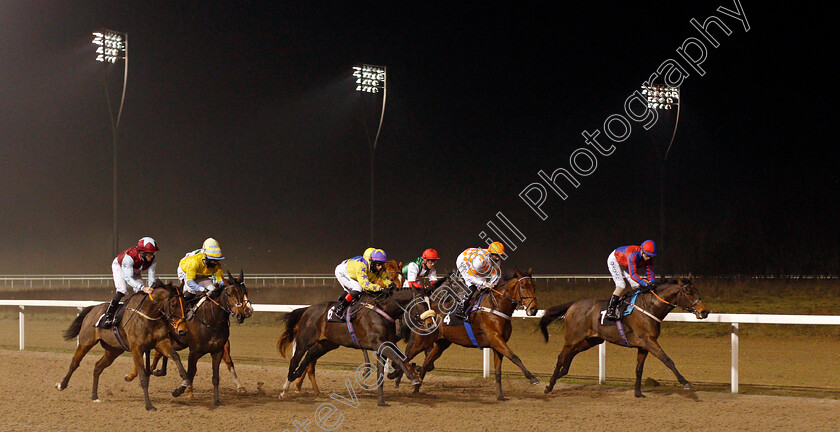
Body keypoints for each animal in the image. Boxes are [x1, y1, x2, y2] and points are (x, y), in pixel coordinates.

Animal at [57, 280, 190, 412]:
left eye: (185, 304)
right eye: (173, 304)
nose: (183, 330)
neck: (148, 315)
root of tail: (93, 308)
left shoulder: (161, 342)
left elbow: (175, 355)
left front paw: (185, 380)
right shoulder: (136, 348)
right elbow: (143, 378)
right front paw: (149, 405)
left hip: (113, 350)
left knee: (98, 367)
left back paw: (94, 396)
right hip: (86, 342)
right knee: (75, 362)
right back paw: (62, 385)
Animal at [123, 272, 251, 400]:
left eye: (245, 292)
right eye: (229, 294)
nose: (243, 314)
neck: (211, 319)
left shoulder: (220, 345)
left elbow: (229, 362)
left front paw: (240, 387)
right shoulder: (194, 350)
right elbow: (191, 371)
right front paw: (186, 390)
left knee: (158, 354)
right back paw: (136, 374)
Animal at [278, 286, 434, 404]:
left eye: (430, 302)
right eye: (421, 303)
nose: (430, 323)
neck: (383, 310)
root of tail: (308, 309)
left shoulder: (386, 343)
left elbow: (399, 359)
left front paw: (383, 398)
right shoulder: (379, 343)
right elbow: (398, 358)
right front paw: (413, 378)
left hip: (327, 343)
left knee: (309, 355)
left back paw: (296, 377)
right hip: (304, 340)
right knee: (295, 360)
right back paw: (284, 389)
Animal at [400, 268, 540, 400]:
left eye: (534, 286)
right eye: (523, 286)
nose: (533, 309)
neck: (496, 307)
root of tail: (423, 313)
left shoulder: (498, 344)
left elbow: (498, 371)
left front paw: (500, 396)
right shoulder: (496, 339)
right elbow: (514, 357)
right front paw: (533, 378)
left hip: (441, 344)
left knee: (426, 363)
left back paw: (416, 389)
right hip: (422, 341)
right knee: (407, 357)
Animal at [540, 278, 708, 396]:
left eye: (697, 291)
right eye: (688, 293)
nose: (705, 311)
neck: (649, 307)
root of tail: (573, 305)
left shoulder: (643, 346)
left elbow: (639, 369)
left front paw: (638, 393)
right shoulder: (649, 340)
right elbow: (667, 360)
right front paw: (685, 382)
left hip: (591, 340)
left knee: (572, 354)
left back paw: (562, 373)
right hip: (572, 338)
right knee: (561, 357)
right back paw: (549, 386)